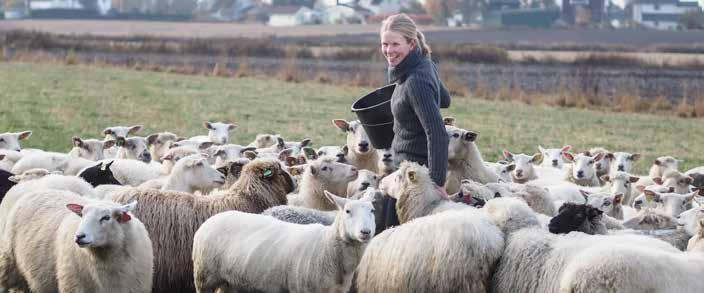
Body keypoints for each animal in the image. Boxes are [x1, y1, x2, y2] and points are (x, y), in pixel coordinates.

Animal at [192, 189, 376, 292]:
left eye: (372, 210)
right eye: (347, 211)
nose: (365, 232)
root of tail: (211, 220)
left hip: (231, 281)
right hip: (204, 277)